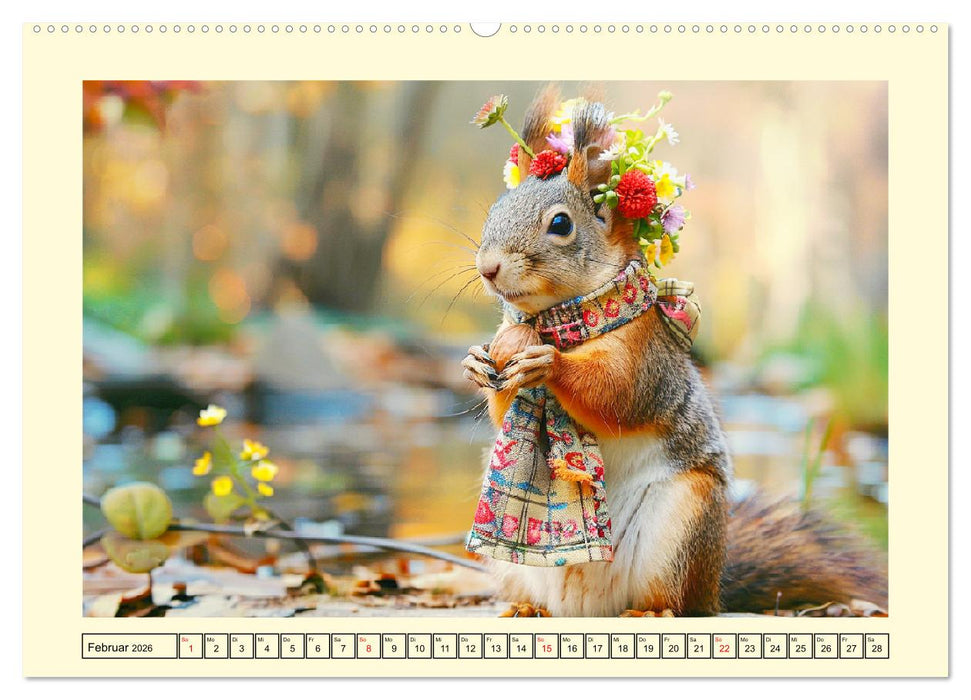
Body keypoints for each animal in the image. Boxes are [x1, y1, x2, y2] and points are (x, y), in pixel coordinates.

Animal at [461, 87, 887, 617]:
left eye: (560, 223)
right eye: (494, 211)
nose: (487, 267)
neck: (560, 319)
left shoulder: (648, 355)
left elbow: (618, 395)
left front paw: (548, 363)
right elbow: (505, 409)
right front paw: (476, 364)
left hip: (684, 523)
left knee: (676, 599)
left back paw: (651, 610)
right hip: (516, 568)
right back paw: (526, 608)